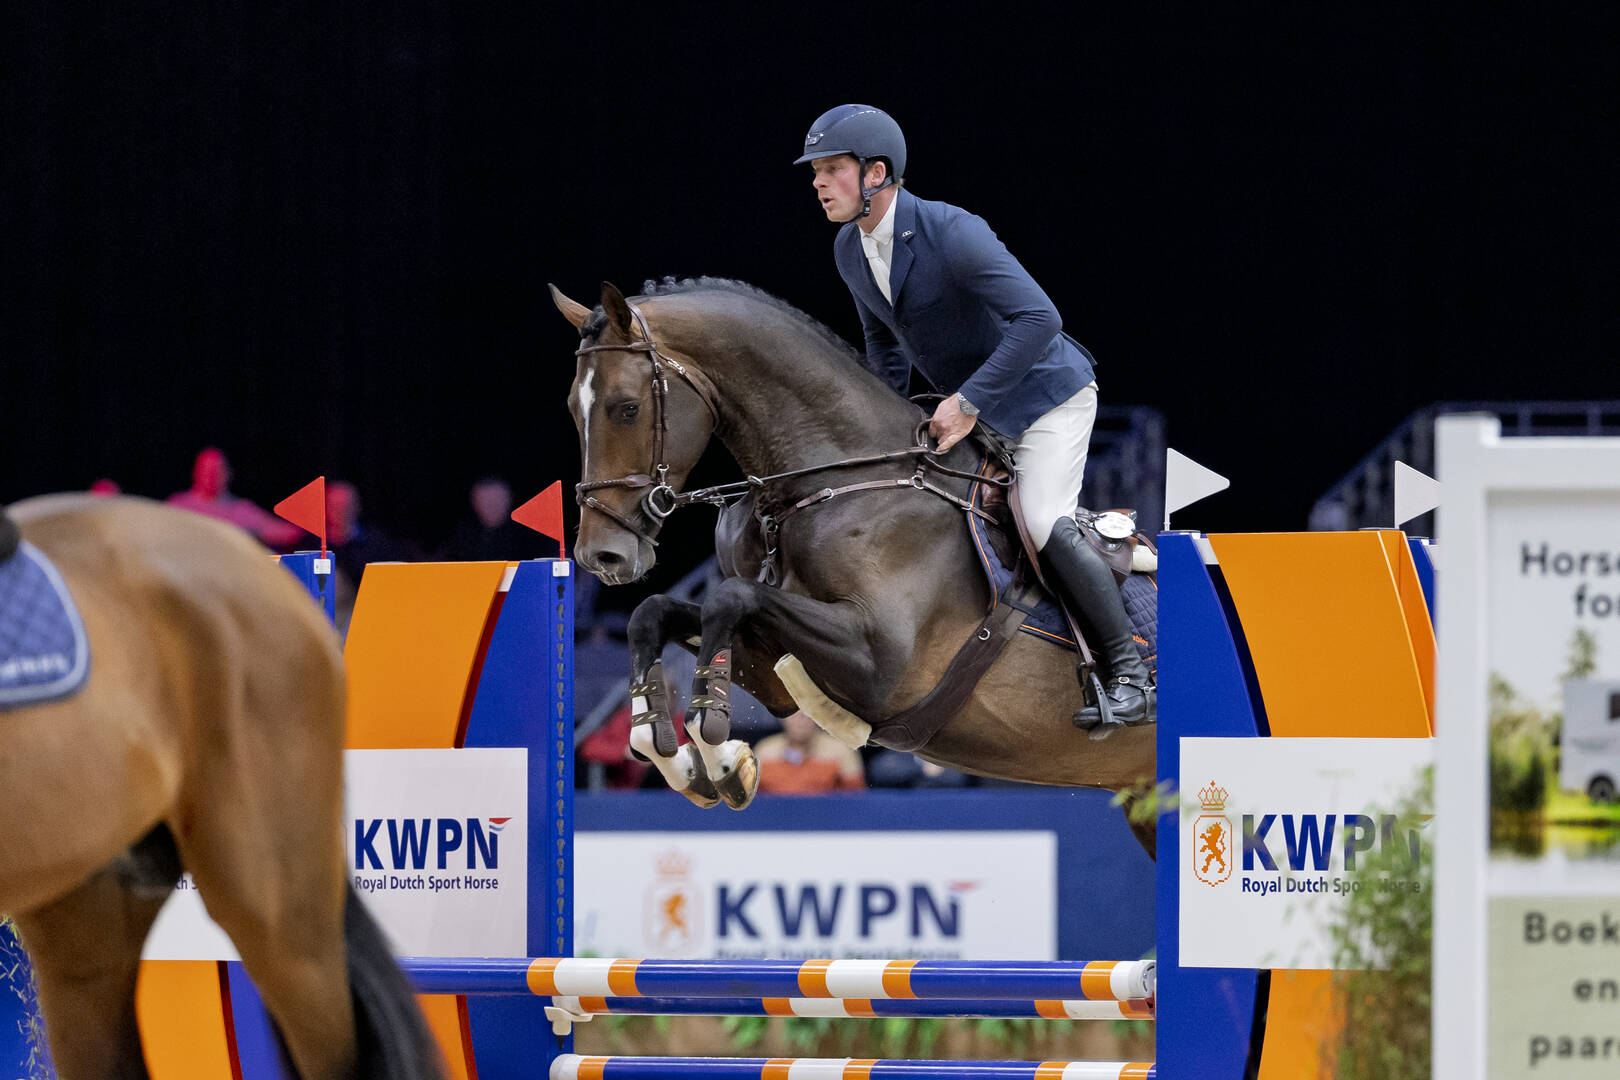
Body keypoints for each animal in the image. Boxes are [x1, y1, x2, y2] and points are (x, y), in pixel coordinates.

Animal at [554, 278, 1156, 853]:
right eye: (573, 411)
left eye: (627, 407)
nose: (601, 555)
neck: (833, 483)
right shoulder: (775, 669)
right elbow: (654, 613)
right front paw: (675, 756)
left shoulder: (878, 666)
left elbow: (729, 599)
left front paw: (721, 757)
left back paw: (1127, 694)